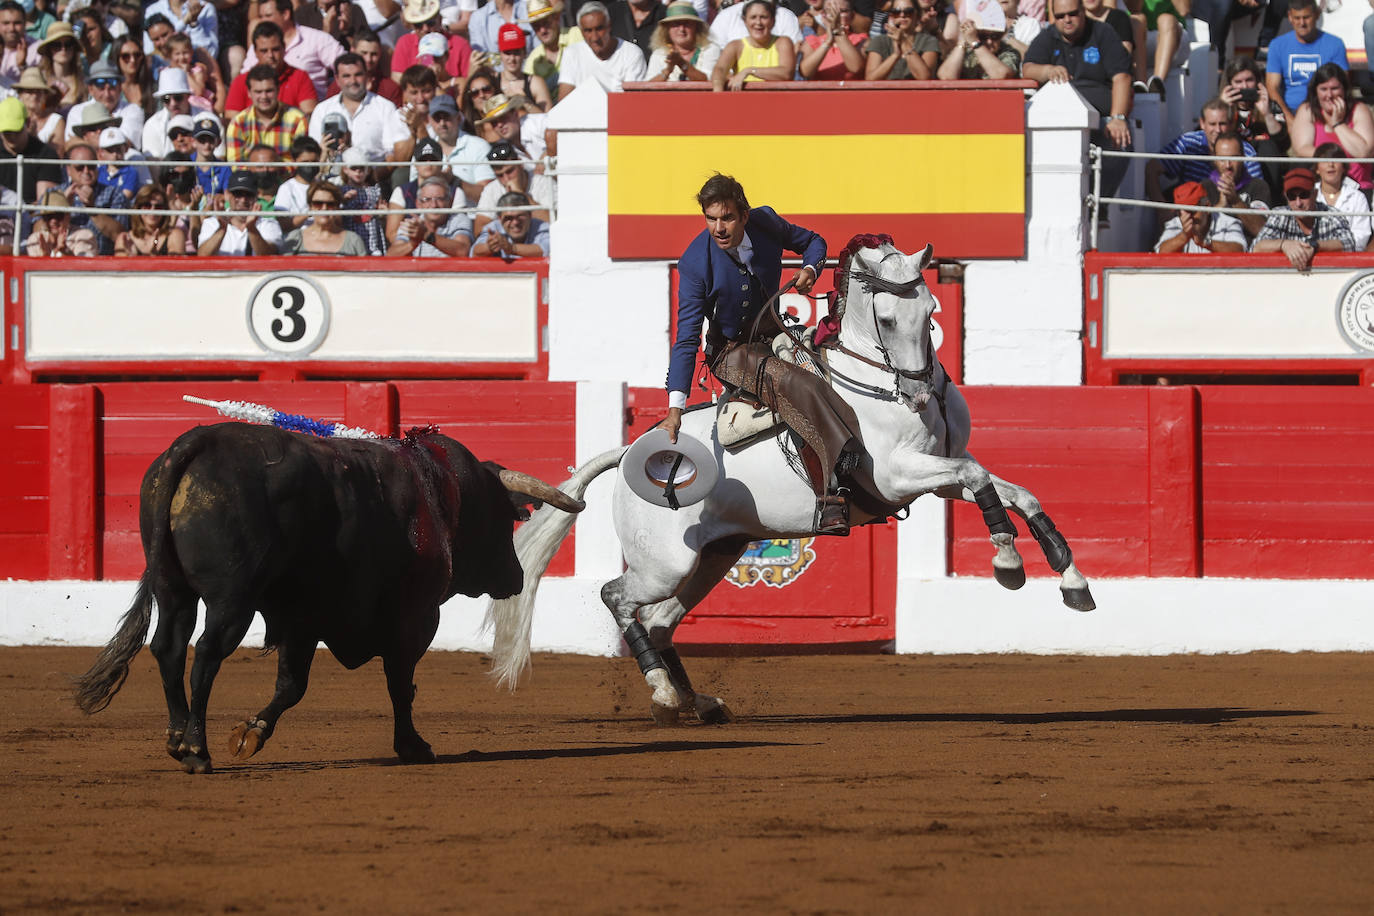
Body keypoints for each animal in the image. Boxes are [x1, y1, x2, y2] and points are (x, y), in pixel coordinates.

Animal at [76, 422, 579, 774]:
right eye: (502, 516)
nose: (516, 576)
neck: (439, 493)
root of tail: (196, 443)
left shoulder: (302, 618)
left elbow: (292, 685)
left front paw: (252, 732)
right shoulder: (414, 617)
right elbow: (401, 684)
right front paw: (412, 747)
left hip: (172, 589)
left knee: (169, 648)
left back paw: (177, 739)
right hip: (231, 601)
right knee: (206, 656)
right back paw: (197, 750)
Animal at [489, 234, 1099, 725]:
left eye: (930, 309)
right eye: (886, 319)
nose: (921, 393)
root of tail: (631, 453)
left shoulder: (937, 475)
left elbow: (1011, 490)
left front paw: (1069, 578)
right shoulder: (900, 476)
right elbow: (981, 477)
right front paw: (1008, 562)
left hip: (715, 556)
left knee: (661, 622)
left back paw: (697, 703)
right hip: (665, 564)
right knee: (617, 597)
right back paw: (664, 695)